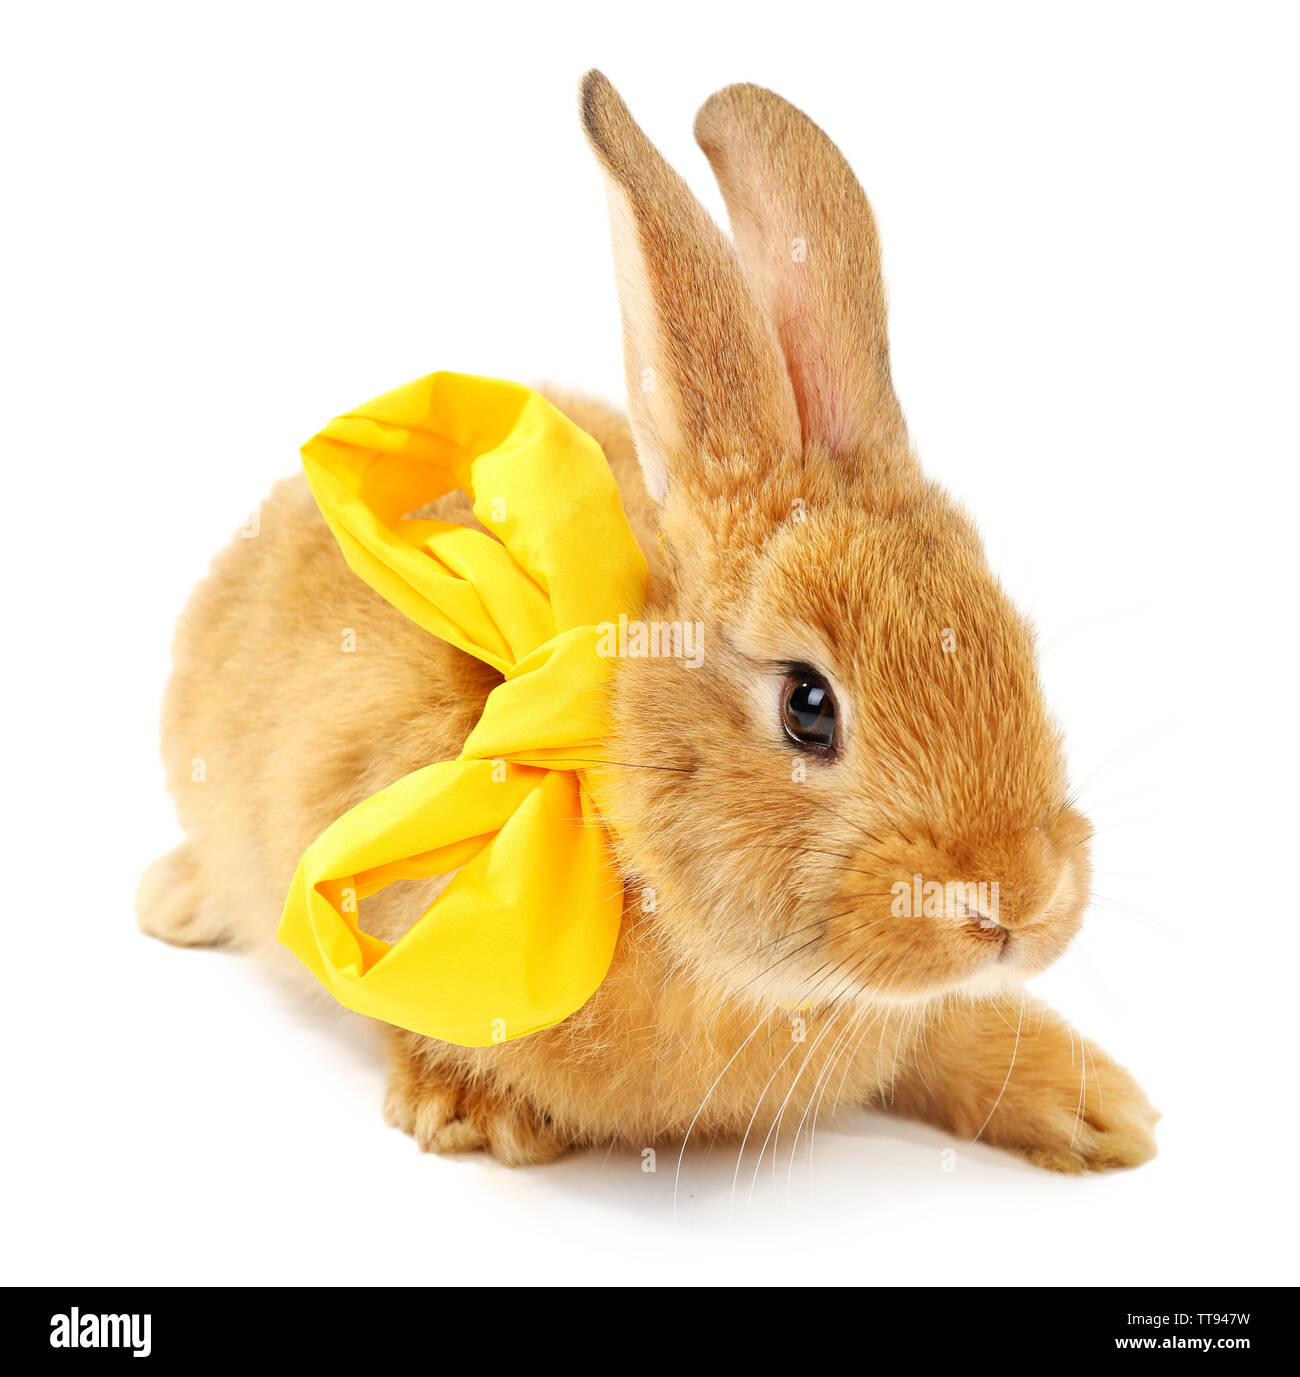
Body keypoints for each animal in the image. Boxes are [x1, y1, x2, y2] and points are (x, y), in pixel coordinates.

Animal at [137, 70, 1157, 1173]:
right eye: (807, 705)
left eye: (1019, 645)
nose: (1021, 899)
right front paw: (468, 1111)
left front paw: (1099, 1108)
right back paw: (174, 900)